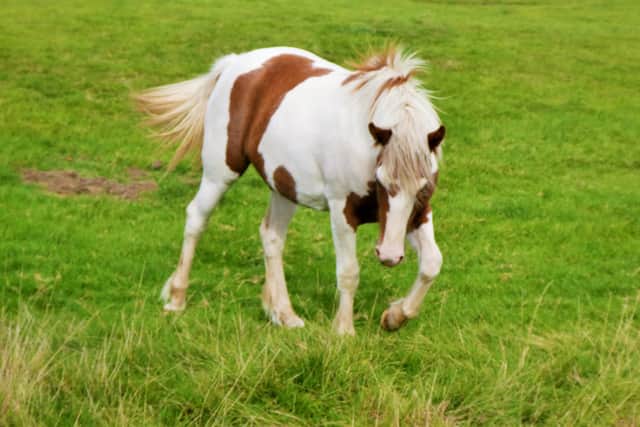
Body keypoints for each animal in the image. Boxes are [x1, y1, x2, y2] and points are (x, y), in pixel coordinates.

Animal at [135, 45, 445, 335]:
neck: (366, 140)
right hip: (220, 172)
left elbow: (432, 263)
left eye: (424, 188)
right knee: (196, 218)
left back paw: (283, 314)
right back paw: (177, 298)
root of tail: (235, 62)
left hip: (284, 187)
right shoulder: (342, 210)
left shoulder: (416, 215)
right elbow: (348, 272)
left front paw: (395, 316)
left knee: (271, 237)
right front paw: (344, 331)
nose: (390, 257)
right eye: (381, 180)